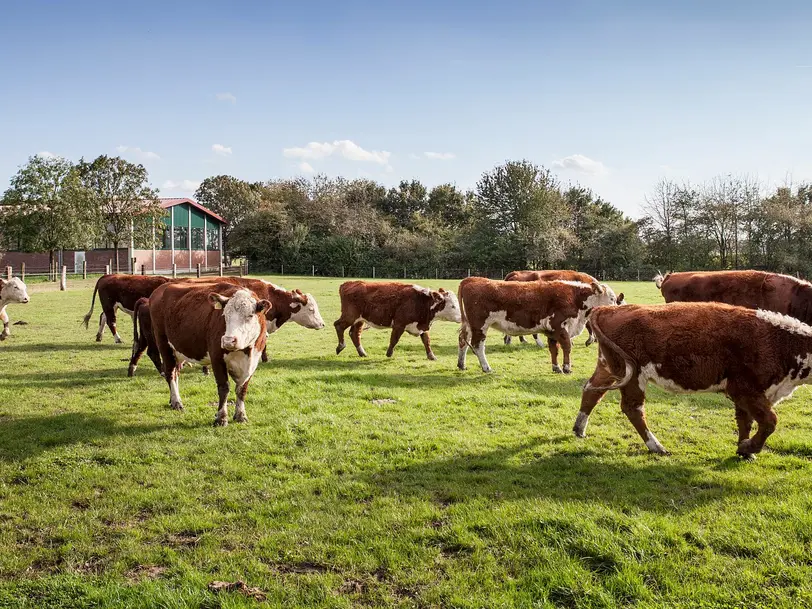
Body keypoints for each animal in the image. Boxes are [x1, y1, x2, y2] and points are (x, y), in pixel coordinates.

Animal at [128, 276, 326, 376]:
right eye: (311, 309)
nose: (322, 324)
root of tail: (147, 299)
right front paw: (265, 359)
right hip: (156, 337)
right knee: (153, 353)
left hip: (148, 336)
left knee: (140, 348)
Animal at [147, 282, 272, 426]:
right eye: (225, 315)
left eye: (250, 316)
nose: (228, 340)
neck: (245, 351)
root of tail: (162, 287)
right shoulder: (216, 357)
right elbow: (224, 388)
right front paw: (221, 418)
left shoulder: (252, 362)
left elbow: (242, 389)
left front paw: (241, 415)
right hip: (163, 344)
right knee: (170, 373)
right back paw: (176, 402)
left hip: (177, 351)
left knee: (176, 372)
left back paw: (173, 399)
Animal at [456, 274, 616, 370]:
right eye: (612, 298)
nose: (616, 310)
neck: (575, 297)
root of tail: (472, 279)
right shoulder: (560, 326)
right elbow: (567, 347)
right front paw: (566, 367)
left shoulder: (552, 330)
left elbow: (554, 349)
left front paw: (556, 368)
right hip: (480, 326)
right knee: (478, 346)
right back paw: (486, 367)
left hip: (470, 325)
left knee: (463, 341)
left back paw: (461, 364)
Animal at [576, 302, 812, 458]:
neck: (780, 341)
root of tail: (609, 309)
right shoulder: (745, 390)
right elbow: (770, 421)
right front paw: (748, 448)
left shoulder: (750, 394)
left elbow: (746, 421)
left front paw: (744, 450)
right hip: (633, 376)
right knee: (633, 408)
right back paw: (656, 446)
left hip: (611, 368)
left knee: (592, 390)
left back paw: (579, 428)